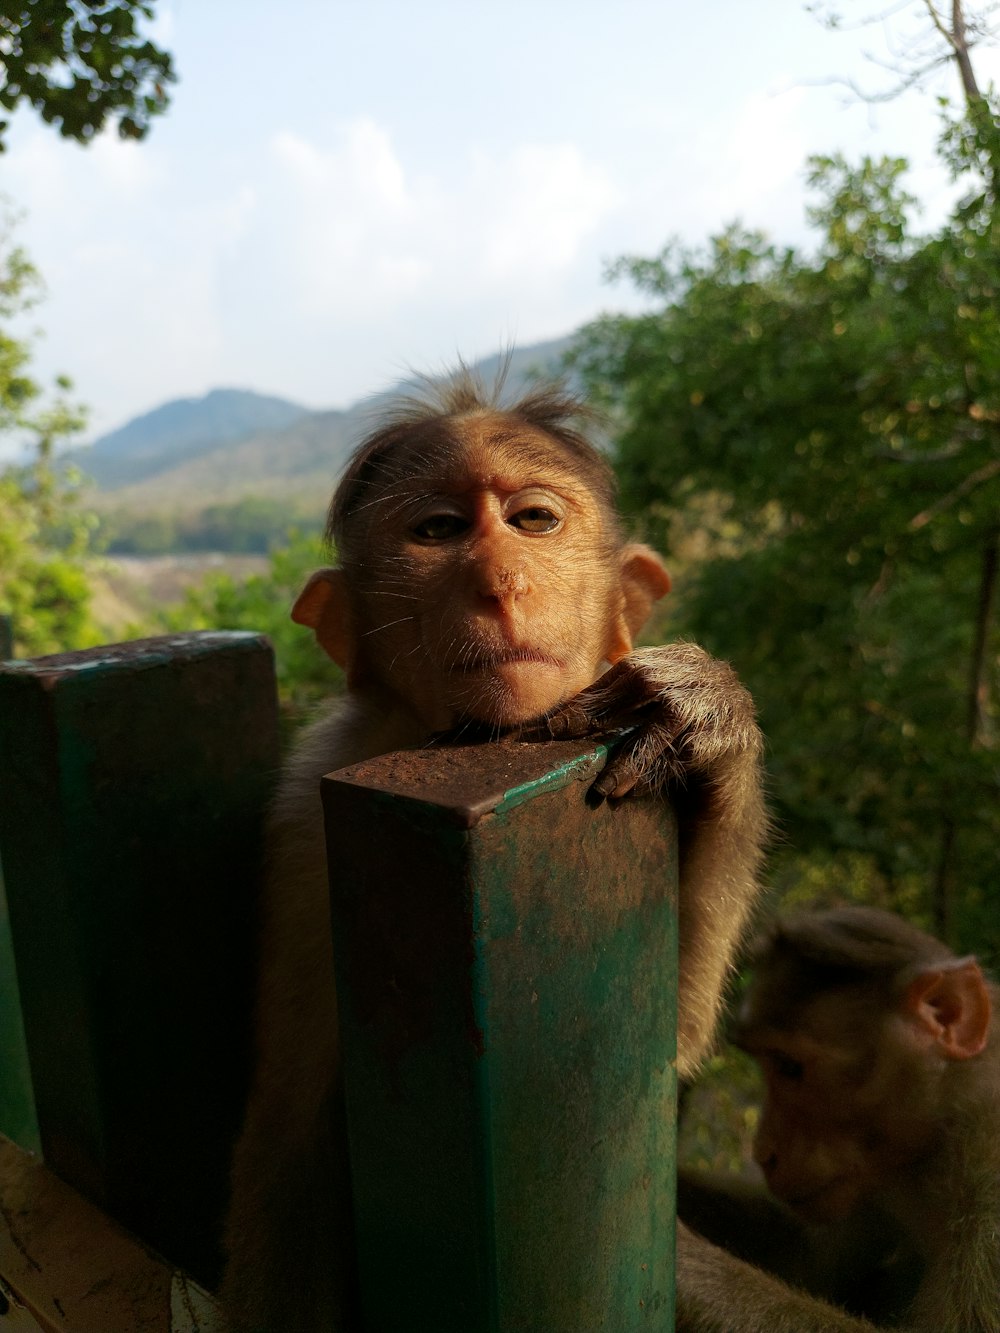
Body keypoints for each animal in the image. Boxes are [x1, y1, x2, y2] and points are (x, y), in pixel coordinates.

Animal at [218, 367, 768, 1333]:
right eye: (437, 531)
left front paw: (704, 709)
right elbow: (289, 1132)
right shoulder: (302, 812)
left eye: (533, 520)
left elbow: (668, 1044)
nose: (501, 581)